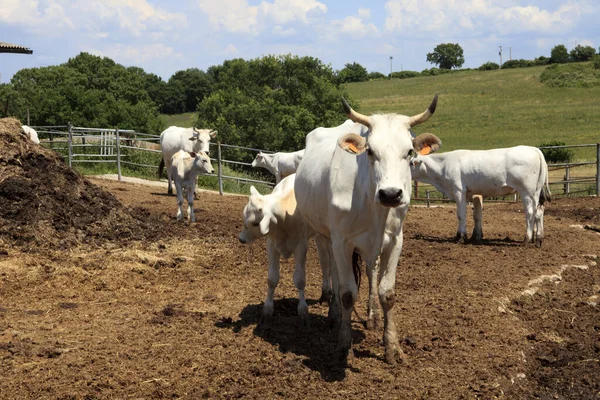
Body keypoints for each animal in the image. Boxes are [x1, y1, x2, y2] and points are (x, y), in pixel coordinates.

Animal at [239, 173, 332, 326]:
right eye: (244, 217)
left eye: (256, 223)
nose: (241, 239)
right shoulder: (272, 245)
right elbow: (272, 279)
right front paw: (267, 310)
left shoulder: (301, 246)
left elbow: (300, 280)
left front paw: (303, 311)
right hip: (319, 236)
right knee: (324, 263)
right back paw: (325, 294)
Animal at [296, 95, 440, 364]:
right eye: (370, 151)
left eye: (410, 152)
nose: (391, 194)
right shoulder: (341, 241)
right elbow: (347, 293)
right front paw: (343, 344)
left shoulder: (395, 241)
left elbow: (387, 293)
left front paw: (391, 346)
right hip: (324, 235)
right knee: (332, 269)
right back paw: (334, 314)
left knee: (370, 271)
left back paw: (372, 316)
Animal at [410, 144, 552, 247]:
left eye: (412, 163)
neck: (443, 165)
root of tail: (533, 149)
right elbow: (476, 215)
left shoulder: (458, 191)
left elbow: (461, 215)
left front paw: (461, 237)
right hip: (536, 192)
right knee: (539, 212)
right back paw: (538, 239)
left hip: (527, 191)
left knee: (530, 212)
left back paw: (526, 239)